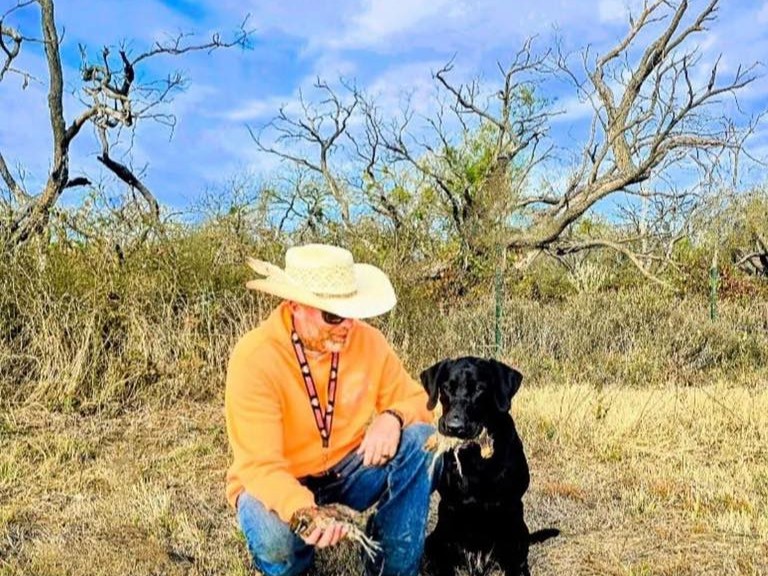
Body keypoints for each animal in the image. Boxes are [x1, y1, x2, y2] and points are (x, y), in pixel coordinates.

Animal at [420, 356, 559, 576]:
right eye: (446, 388)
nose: (453, 427)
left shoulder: (511, 506)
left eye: (479, 389)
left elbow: (515, 559)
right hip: (434, 537)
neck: (475, 457)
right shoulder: (449, 507)